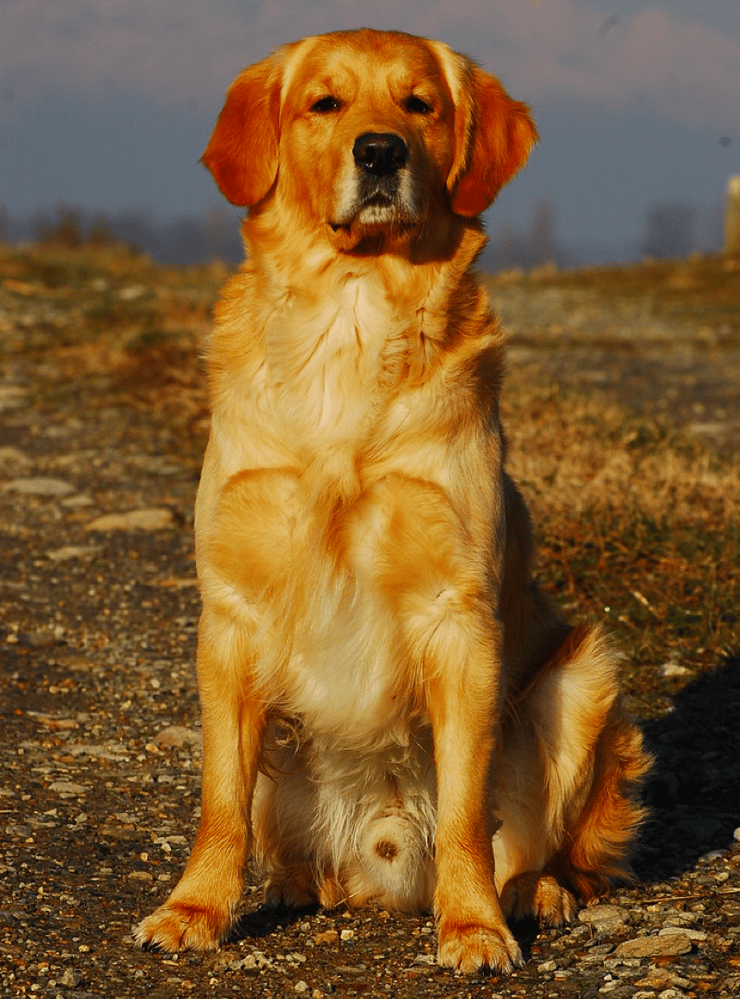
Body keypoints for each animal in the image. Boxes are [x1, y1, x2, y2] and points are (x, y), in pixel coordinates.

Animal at [136, 27, 652, 972]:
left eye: (421, 105)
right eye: (326, 103)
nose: (380, 152)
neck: (350, 320)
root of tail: (377, 871)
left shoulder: (459, 611)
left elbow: (465, 809)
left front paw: (473, 925)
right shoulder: (231, 615)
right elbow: (218, 798)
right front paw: (194, 908)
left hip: (582, 675)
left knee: (545, 846)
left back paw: (532, 892)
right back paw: (296, 884)